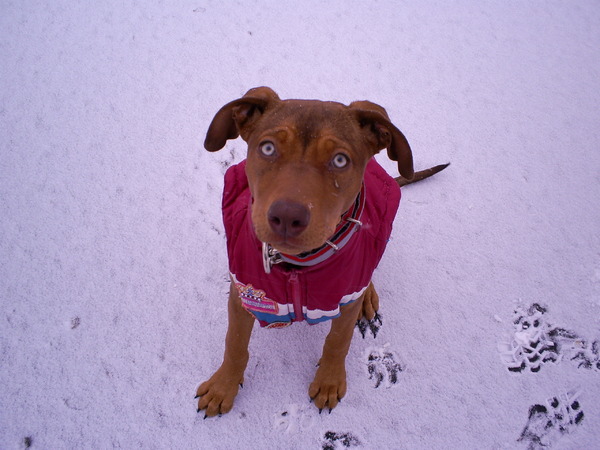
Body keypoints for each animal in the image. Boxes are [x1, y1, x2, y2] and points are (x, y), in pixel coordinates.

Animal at [196, 87, 446, 418]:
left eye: (340, 160)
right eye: (267, 148)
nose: (287, 216)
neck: (296, 264)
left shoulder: (345, 300)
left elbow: (338, 340)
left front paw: (328, 382)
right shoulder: (242, 294)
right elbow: (234, 342)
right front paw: (223, 386)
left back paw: (368, 295)